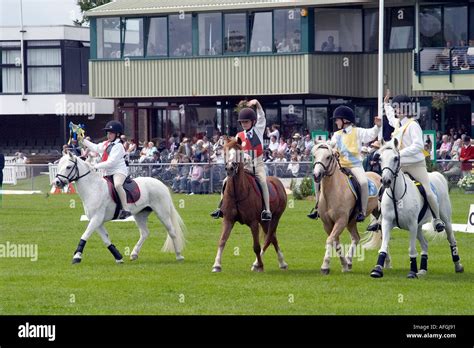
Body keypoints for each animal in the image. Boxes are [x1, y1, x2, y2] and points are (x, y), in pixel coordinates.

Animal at [52, 152, 185, 264]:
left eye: (68, 167)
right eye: (59, 166)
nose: (57, 183)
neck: (93, 188)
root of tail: (161, 184)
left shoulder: (96, 218)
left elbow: (85, 235)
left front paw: (77, 256)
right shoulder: (96, 221)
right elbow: (106, 239)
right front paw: (118, 257)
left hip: (162, 213)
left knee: (172, 232)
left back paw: (179, 255)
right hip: (140, 215)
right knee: (145, 233)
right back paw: (134, 254)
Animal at [212, 136, 286, 272]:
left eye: (239, 153)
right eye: (225, 152)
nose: (230, 168)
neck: (237, 193)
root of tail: (277, 182)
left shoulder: (253, 222)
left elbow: (256, 246)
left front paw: (260, 266)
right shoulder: (228, 219)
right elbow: (222, 240)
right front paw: (217, 265)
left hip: (274, 219)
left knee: (270, 238)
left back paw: (271, 262)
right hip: (265, 222)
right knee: (272, 238)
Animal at [312, 143, 384, 274]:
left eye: (328, 157)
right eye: (314, 156)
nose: (316, 175)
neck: (333, 191)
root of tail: (377, 175)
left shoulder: (341, 220)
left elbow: (330, 240)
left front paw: (325, 266)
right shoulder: (327, 224)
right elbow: (335, 242)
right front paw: (344, 264)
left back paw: (386, 263)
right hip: (352, 221)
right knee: (356, 238)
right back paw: (350, 261)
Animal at [366, 139, 462, 278]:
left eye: (396, 158)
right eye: (380, 158)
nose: (385, 181)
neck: (397, 196)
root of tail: (437, 175)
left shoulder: (411, 225)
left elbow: (411, 249)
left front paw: (412, 272)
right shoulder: (387, 223)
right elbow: (383, 246)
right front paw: (377, 269)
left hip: (445, 220)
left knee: (451, 239)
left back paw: (458, 266)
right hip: (419, 226)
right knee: (425, 244)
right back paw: (422, 270)